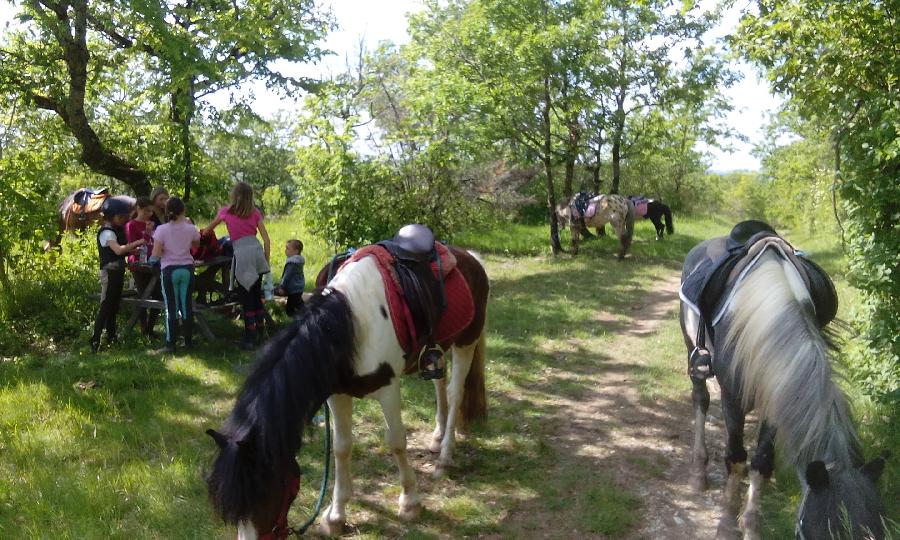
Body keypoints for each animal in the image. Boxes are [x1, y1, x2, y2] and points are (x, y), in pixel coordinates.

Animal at [207, 243, 488, 536]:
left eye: (264, 490)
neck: (349, 325)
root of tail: (469, 256)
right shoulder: (337, 395)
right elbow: (341, 447)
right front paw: (335, 516)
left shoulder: (388, 388)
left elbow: (396, 441)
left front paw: (410, 502)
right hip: (437, 351)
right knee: (439, 385)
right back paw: (436, 437)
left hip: (466, 342)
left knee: (455, 393)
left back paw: (444, 456)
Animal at [680, 219, 884, 540]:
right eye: (811, 534)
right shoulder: (732, 398)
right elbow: (736, 457)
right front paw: (726, 523)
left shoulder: (776, 395)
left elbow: (762, 462)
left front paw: (751, 526)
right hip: (692, 349)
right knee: (700, 399)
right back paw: (698, 472)